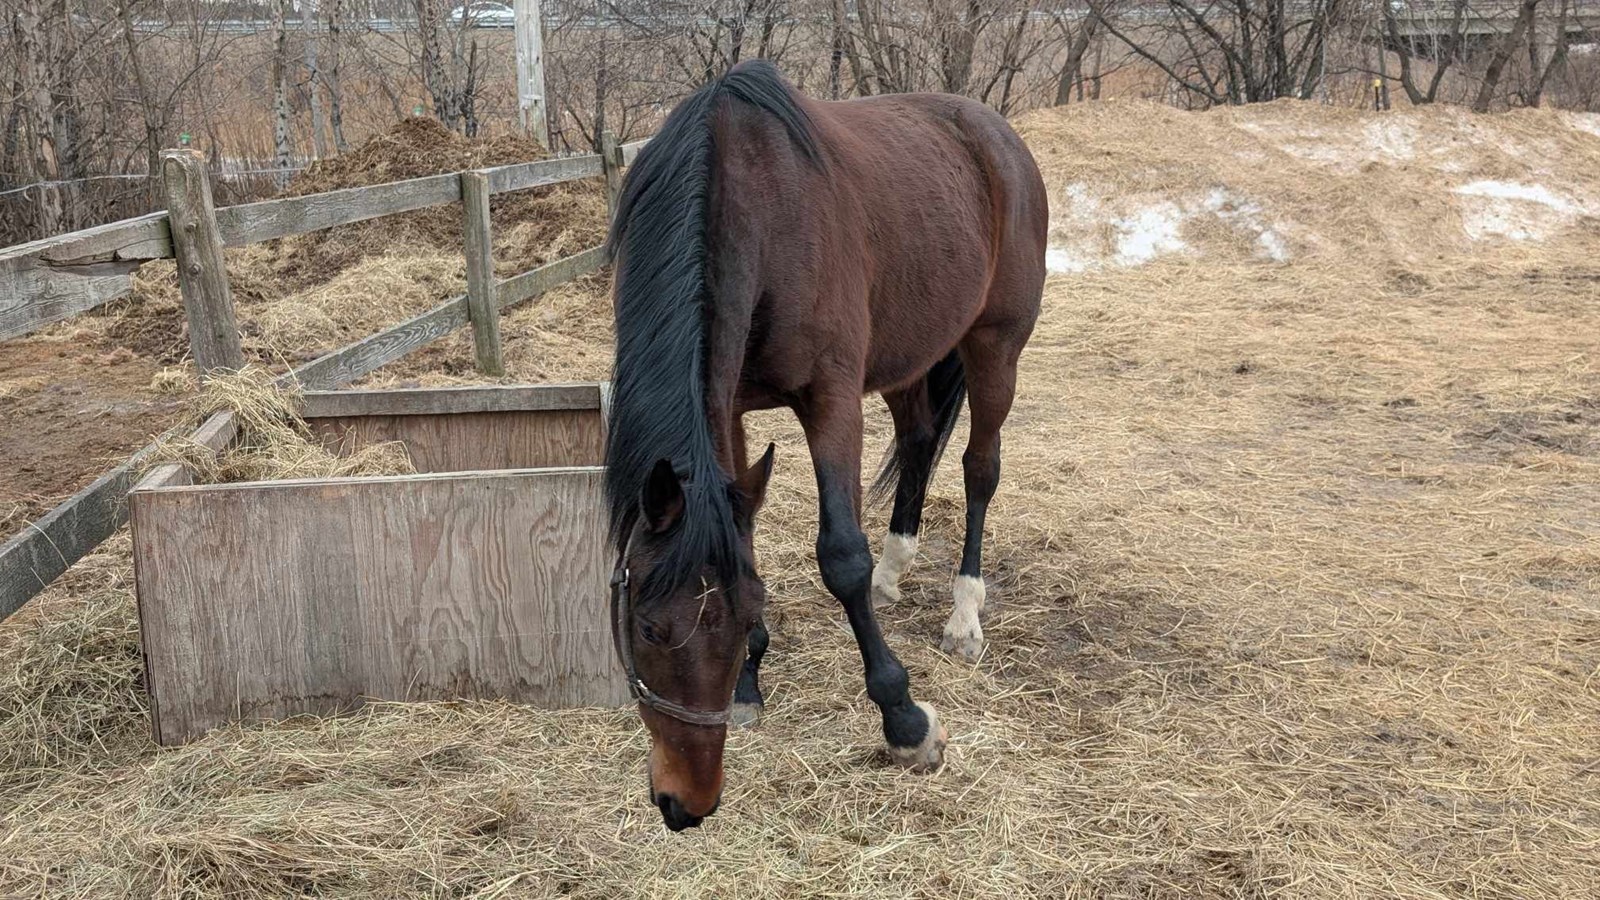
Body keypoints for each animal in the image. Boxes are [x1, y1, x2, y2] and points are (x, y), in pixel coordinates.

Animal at [604, 60, 1047, 832]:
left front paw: (904, 720)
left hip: (996, 346)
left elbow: (841, 556)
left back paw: (964, 614)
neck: (751, 205)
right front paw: (750, 684)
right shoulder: (730, 406)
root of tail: (995, 133)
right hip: (907, 357)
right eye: (649, 629)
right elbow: (744, 535)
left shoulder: (831, 401)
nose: (686, 803)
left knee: (978, 469)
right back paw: (896, 570)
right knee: (919, 441)